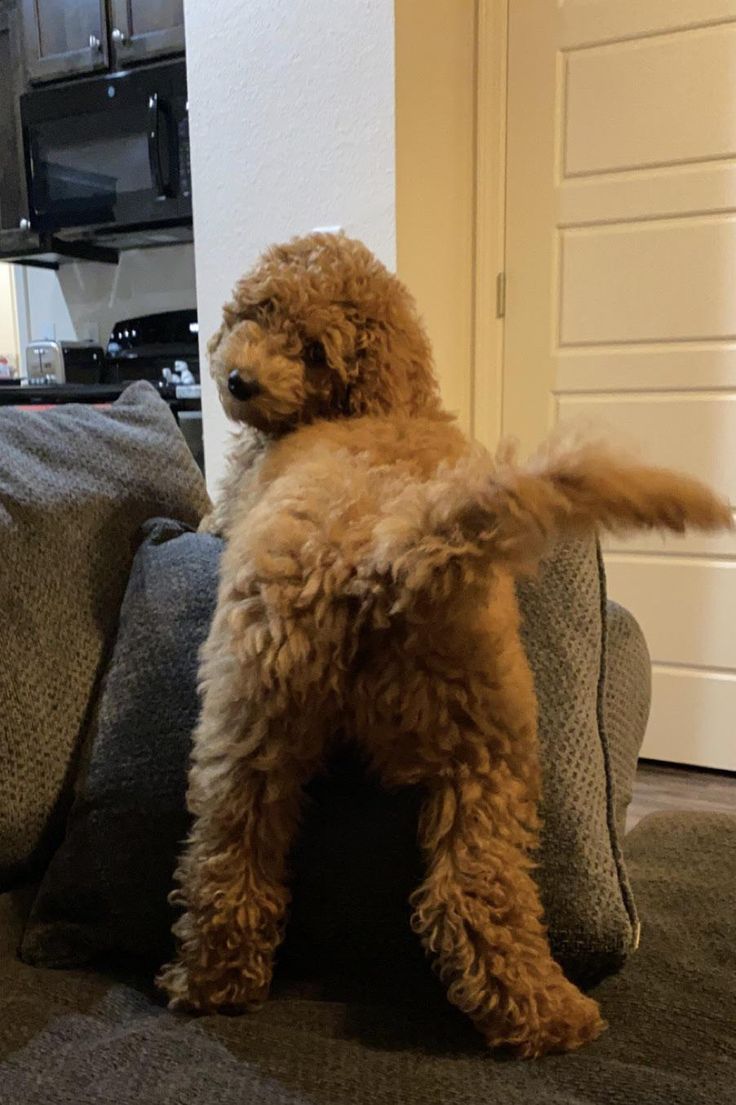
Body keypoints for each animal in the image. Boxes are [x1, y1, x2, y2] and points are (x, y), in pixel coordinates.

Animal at [158, 230, 729, 1051]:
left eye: (314, 350)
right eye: (260, 309)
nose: (238, 382)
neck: (385, 399)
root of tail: (394, 554)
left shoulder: (241, 489)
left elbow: (218, 507)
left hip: (250, 710)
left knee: (233, 854)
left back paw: (208, 983)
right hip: (489, 742)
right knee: (472, 893)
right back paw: (549, 1015)